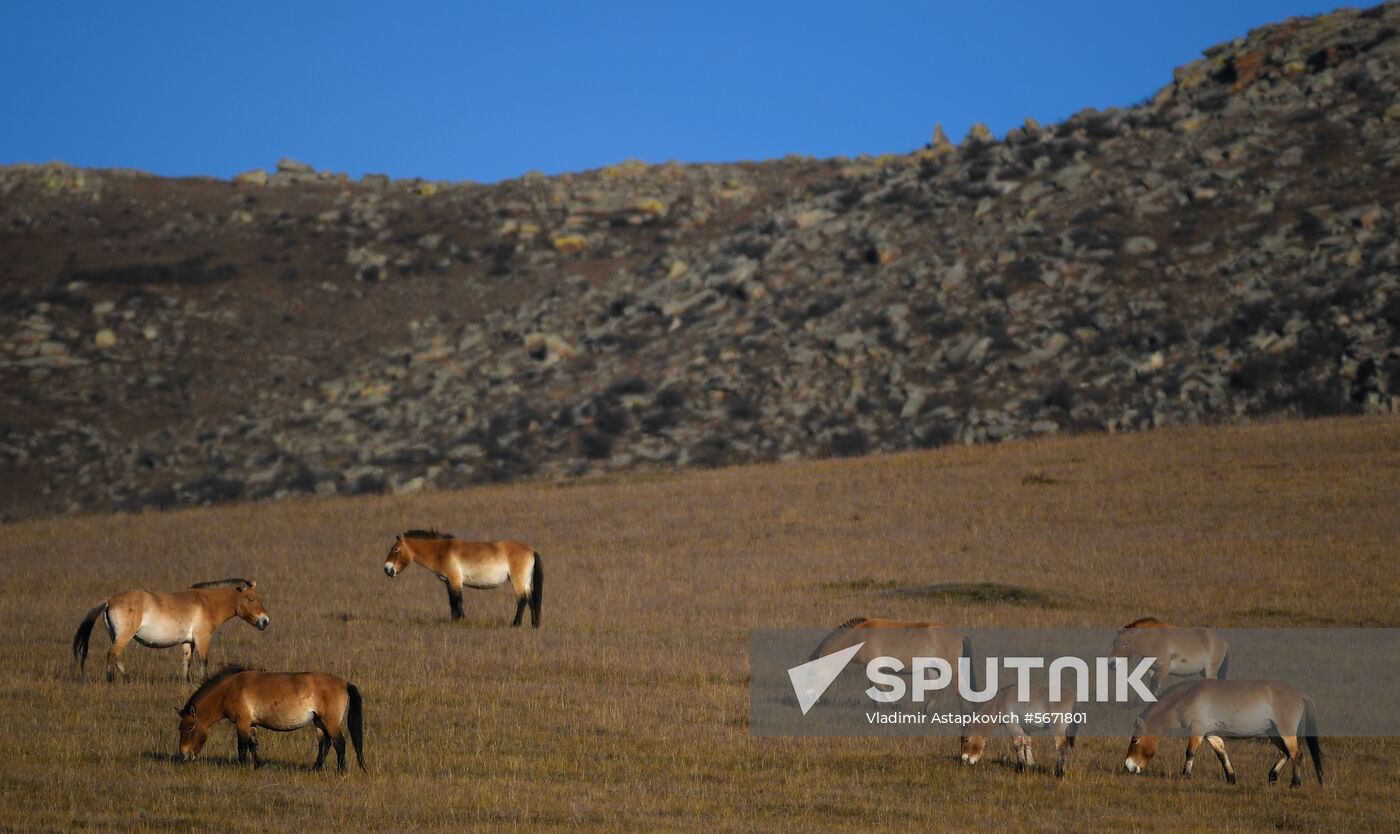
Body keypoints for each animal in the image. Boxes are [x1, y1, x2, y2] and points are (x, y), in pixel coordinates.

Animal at [72, 579, 270, 682]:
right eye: (251, 599)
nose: (266, 620)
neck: (205, 603)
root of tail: (109, 601)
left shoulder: (188, 641)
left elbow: (187, 662)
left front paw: (186, 681)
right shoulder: (202, 638)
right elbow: (204, 661)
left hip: (117, 636)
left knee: (117, 655)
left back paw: (127, 678)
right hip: (124, 636)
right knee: (112, 654)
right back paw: (111, 679)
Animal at [177, 663, 366, 778]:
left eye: (190, 727)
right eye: (180, 728)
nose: (184, 754)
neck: (230, 689)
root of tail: (344, 683)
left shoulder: (242, 723)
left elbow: (242, 746)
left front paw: (242, 767)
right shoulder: (251, 724)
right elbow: (254, 745)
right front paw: (257, 765)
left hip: (330, 722)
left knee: (339, 743)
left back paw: (341, 771)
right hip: (318, 721)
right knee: (324, 744)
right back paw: (315, 769)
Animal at [386, 528, 543, 626]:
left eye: (395, 549)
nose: (387, 569)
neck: (442, 551)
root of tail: (531, 549)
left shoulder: (455, 580)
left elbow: (458, 601)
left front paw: (461, 620)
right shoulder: (448, 582)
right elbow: (452, 602)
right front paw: (455, 620)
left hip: (518, 581)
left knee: (522, 600)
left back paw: (515, 624)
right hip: (525, 582)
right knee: (531, 599)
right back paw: (534, 624)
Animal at [1120, 677, 1316, 789]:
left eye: (1135, 740)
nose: (1128, 766)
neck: (1187, 697)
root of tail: (1301, 694)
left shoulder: (1197, 730)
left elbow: (1190, 752)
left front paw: (1185, 776)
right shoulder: (1210, 734)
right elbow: (1221, 753)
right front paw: (1231, 778)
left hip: (1284, 732)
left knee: (1296, 754)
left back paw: (1295, 784)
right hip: (1273, 732)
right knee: (1286, 753)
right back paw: (1272, 777)